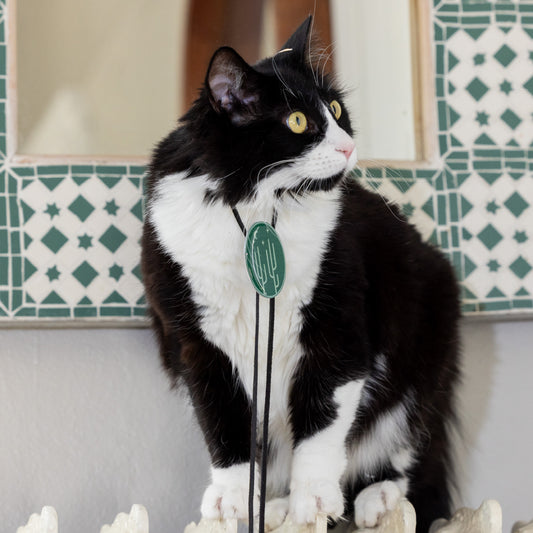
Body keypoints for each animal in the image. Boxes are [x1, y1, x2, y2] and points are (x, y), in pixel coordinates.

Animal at [139, 16, 460, 532]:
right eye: (297, 121)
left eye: (336, 109)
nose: (348, 146)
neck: (258, 209)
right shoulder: (198, 348)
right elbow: (223, 426)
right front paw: (232, 499)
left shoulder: (338, 333)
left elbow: (321, 425)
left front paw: (313, 499)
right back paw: (276, 507)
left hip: (424, 349)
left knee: (407, 448)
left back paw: (375, 498)